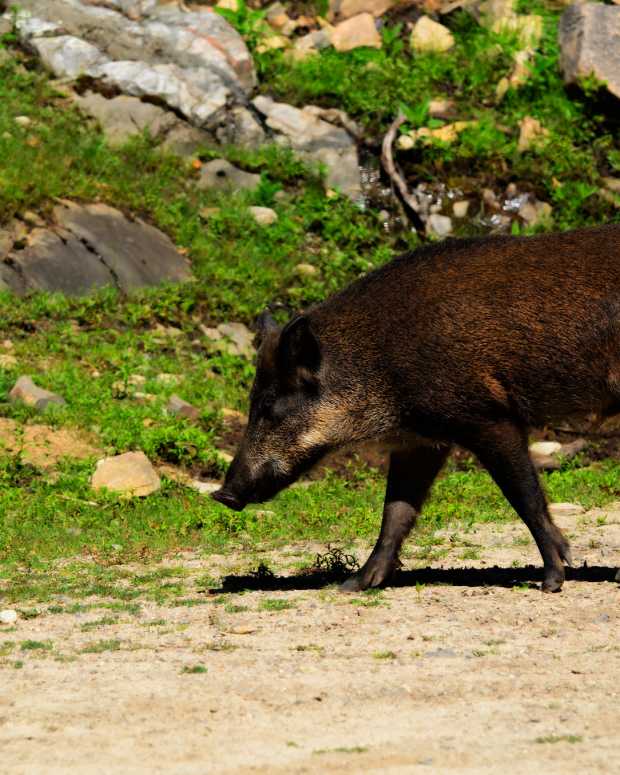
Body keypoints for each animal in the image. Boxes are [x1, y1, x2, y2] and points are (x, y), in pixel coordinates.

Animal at [213, 224, 620, 593]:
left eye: (272, 406)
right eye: (252, 401)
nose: (222, 494)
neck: (378, 363)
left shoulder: (489, 415)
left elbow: (525, 496)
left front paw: (552, 581)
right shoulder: (419, 441)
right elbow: (396, 510)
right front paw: (354, 585)